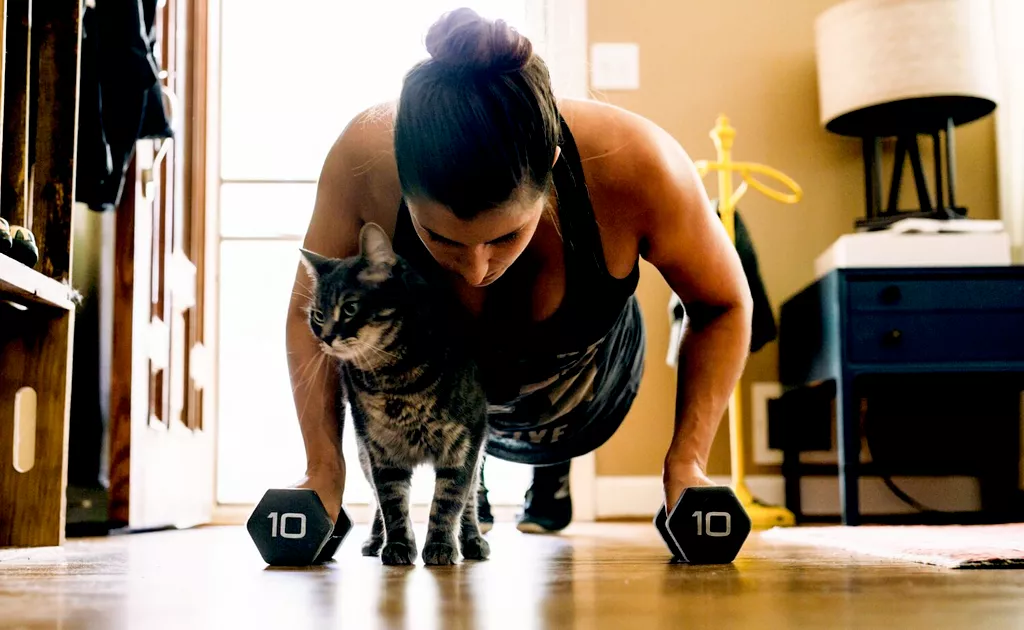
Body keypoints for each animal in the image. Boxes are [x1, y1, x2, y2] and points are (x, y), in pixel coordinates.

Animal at [299, 223, 489, 565]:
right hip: (363, 453)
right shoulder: (380, 449)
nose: (328, 337)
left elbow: (449, 500)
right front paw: (398, 545)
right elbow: (391, 503)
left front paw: (440, 545)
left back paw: (472, 541)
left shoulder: (463, 443)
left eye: (350, 308)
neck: (396, 381)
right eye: (318, 315)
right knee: (376, 501)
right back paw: (375, 542)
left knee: (470, 500)